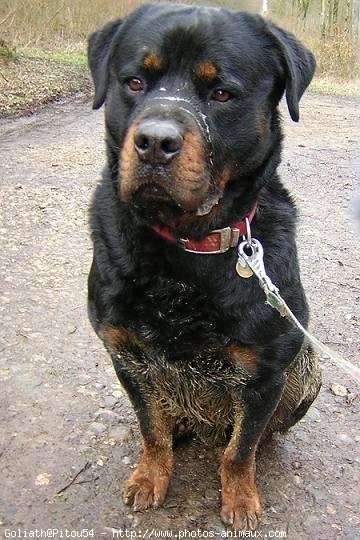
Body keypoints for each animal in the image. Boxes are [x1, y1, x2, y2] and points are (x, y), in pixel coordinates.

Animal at [86, 1, 320, 532]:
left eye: (221, 93)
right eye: (135, 82)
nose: (155, 142)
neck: (185, 250)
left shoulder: (265, 373)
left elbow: (239, 450)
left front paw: (240, 496)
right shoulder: (127, 355)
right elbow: (150, 427)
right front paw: (151, 475)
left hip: (307, 368)